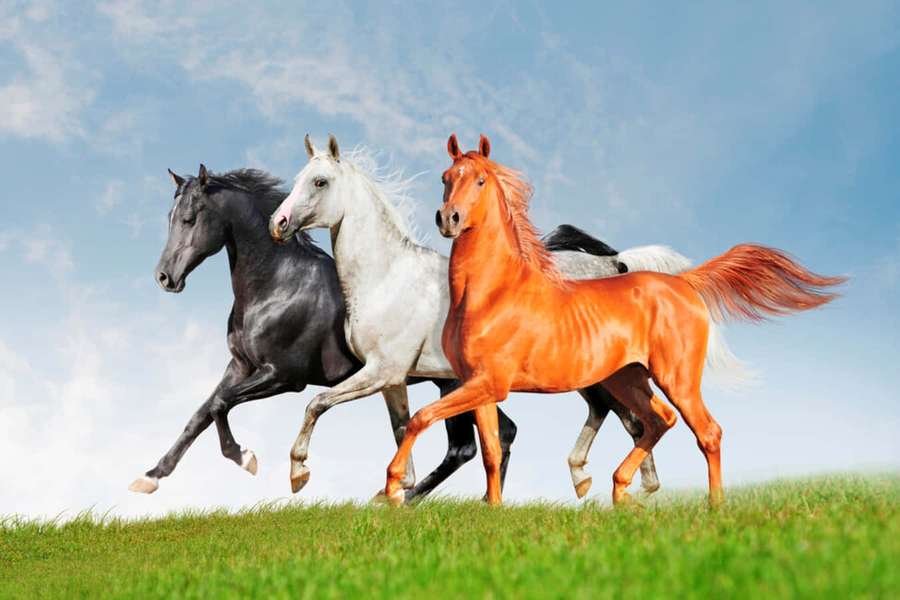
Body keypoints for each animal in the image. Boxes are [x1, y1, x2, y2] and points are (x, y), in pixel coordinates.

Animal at [129, 165, 509, 498]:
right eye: (170, 217)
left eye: (190, 218)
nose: (164, 277)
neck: (279, 284)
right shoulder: (239, 366)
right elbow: (201, 414)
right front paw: (151, 476)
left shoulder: (283, 376)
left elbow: (222, 404)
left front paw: (245, 458)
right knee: (501, 434)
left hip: (452, 383)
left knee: (465, 447)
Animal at [269, 135, 694, 499]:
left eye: (320, 182)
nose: (278, 224)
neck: (387, 275)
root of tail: (615, 264)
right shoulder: (393, 381)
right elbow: (402, 430)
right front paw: (394, 493)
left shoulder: (381, 372)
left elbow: (317, 403)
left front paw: (298, 473)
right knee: (618, 414)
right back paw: (598, 480)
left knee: (632, 418)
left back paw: (629, 486)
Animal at [380, 134, 846, 507]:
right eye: (446, 176)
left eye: (479, 180)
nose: (449, 219)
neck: (493, 292)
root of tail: (683, 283)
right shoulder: (480, 387)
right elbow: (492, 451)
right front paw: (492, 511)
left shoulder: (487, 383)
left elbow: (421, 419)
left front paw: (392, 488)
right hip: (628, 378)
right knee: (656, 421)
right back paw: (620, 491)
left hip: (675, 378)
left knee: (706, 431)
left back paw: (713, 508)